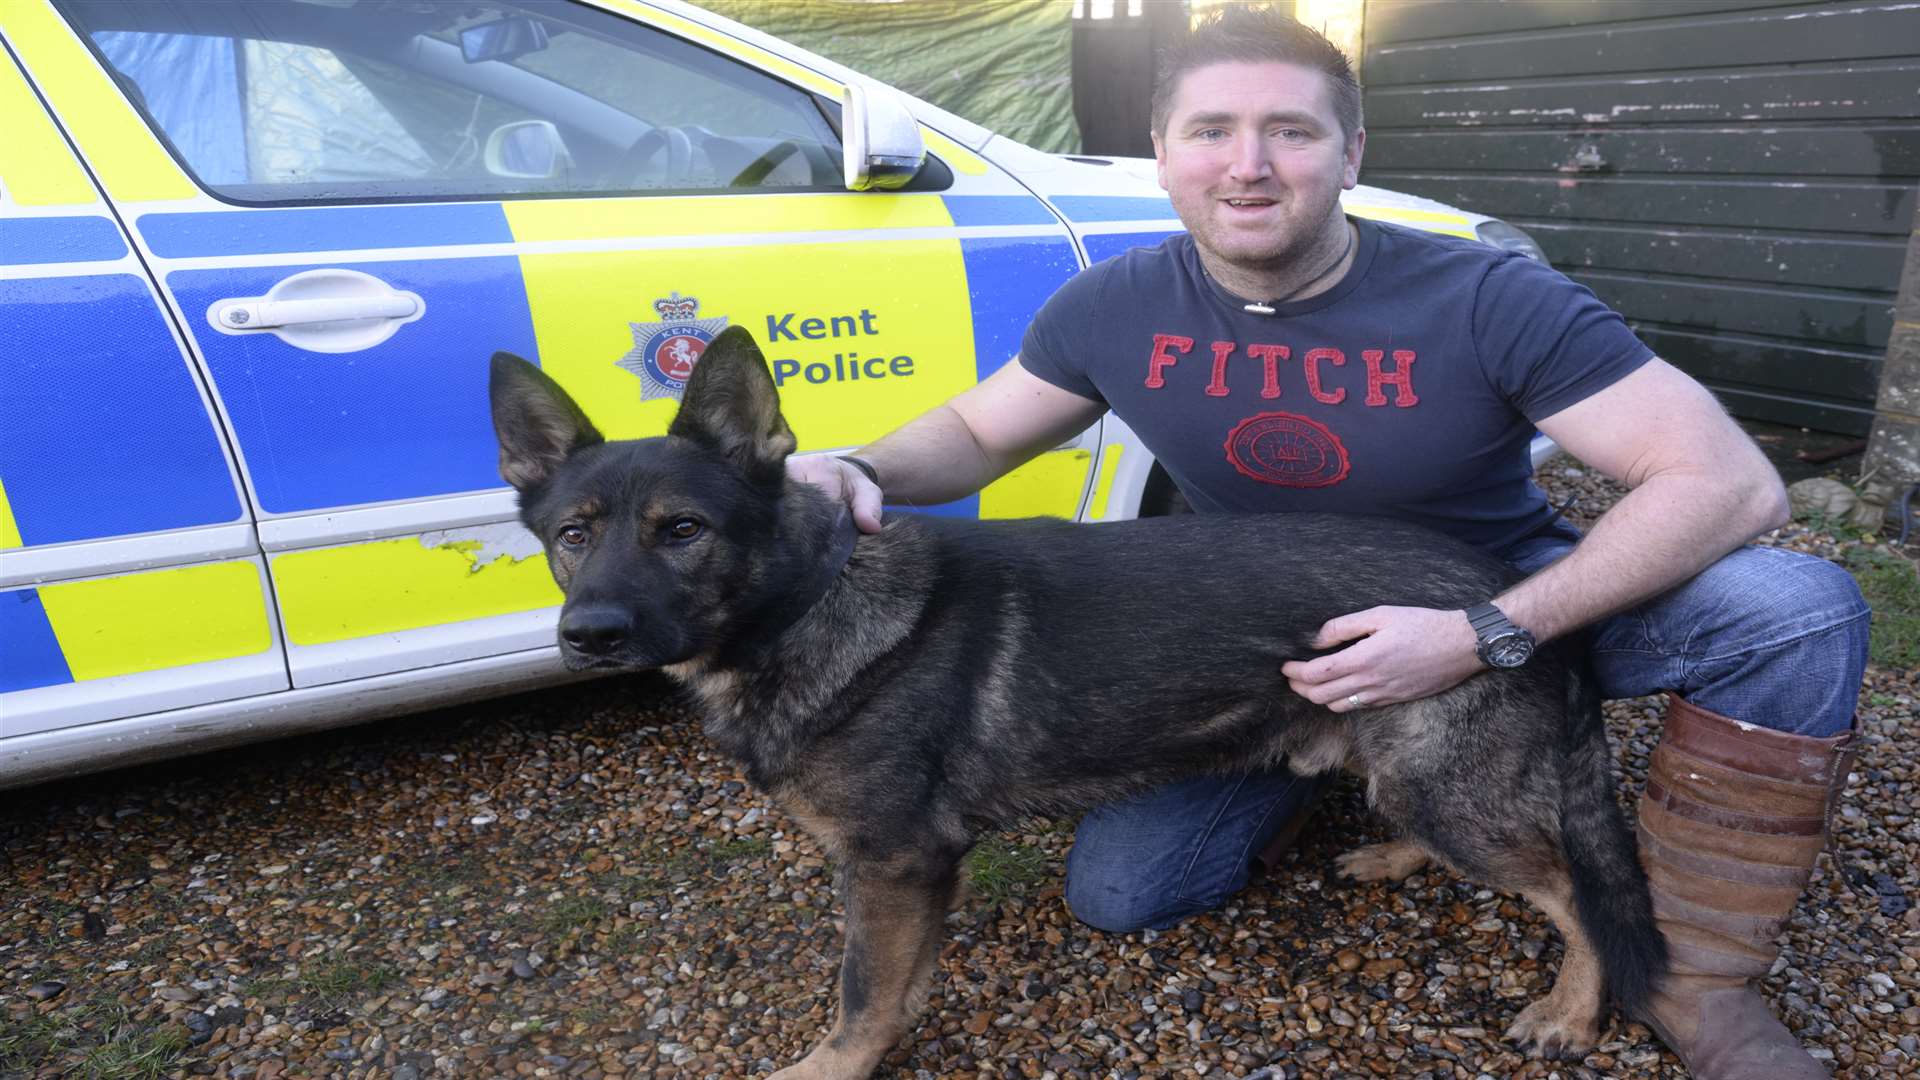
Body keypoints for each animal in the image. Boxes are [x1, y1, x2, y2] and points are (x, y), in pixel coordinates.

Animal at [491, 328, 1666, 1076]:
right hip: (1412, 775)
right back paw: (1391, 856)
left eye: (683, 530)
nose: (588, 634)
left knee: (1574, 891)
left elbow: (860, 994)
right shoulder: (911, 876)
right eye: (573, 535)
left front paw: (830, 1068)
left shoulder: (892, 864)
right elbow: (898, 983)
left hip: (1448, 786)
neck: (811, 599)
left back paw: (1570, 1015)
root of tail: (1505, 597)